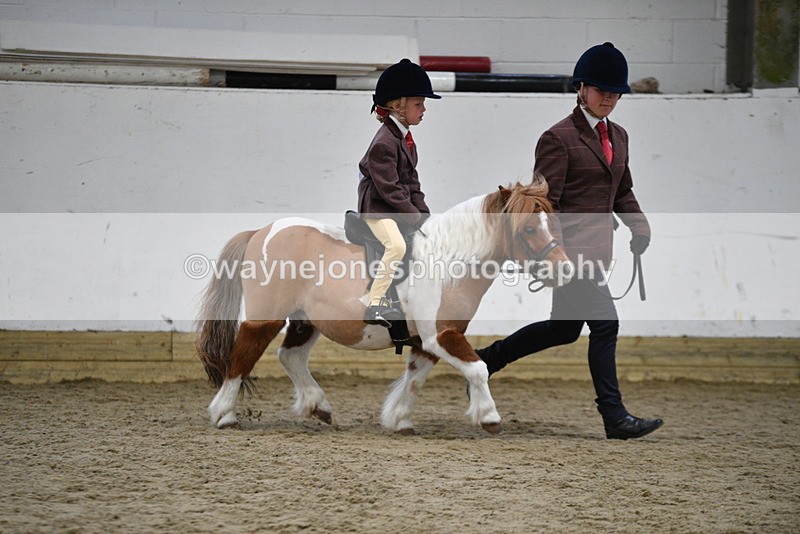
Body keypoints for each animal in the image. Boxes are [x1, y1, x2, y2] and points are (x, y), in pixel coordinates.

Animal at [196, 177, 574, 434]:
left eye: (554, 224)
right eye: (528, 229)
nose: (565, 270)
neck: (448, 261)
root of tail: (260, 232)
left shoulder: (427, 341)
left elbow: (416, 379)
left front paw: (399, 419)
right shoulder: (441, 335)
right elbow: (478, 368)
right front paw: (490, 416)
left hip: (306, 320)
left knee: (290, 356)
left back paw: (318, 406)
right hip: (266, 318)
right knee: (243, 356)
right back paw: (225, 414)